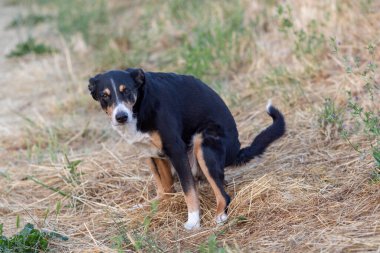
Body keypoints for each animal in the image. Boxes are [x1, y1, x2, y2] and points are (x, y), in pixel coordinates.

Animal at [89, 68, 284, 230]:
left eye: (127, 91)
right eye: (104, 96)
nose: (121, 116)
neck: (141, 106)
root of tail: (235, 151)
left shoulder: (176, 150)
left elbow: (189, 190)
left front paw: (193, 221)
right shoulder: (150, 152)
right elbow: (164, 186)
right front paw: (157, 204)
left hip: (203, 143)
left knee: (223, 194)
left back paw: (220, 216)